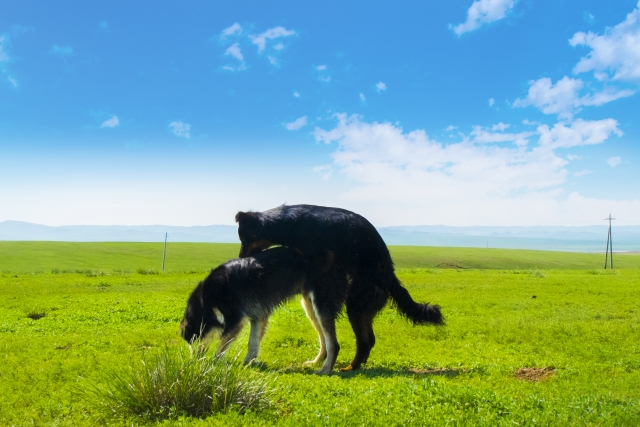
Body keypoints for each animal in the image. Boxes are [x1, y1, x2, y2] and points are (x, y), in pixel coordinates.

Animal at [180, 247, 348, 374]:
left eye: (192, 340)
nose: (192, 361)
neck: (205, 302)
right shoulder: (258, 316)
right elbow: (253, 342)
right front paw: (248, 363)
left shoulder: (237, 319)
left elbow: (221, 345)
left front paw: (212, 365)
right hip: (309, 307)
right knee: (324, 339)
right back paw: (316, 362)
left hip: (320, 304)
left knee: (333, 343)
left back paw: (325, 369)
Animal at [236, 204, 444, 372]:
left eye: (245, 239)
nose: (241, 257)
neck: (288, 222)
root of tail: (389, 275)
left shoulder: (323, 254)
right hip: (359, 307)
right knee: (368, 340)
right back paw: (354, 365)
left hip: (356, 303)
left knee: (365, 341)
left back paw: (350, 367)